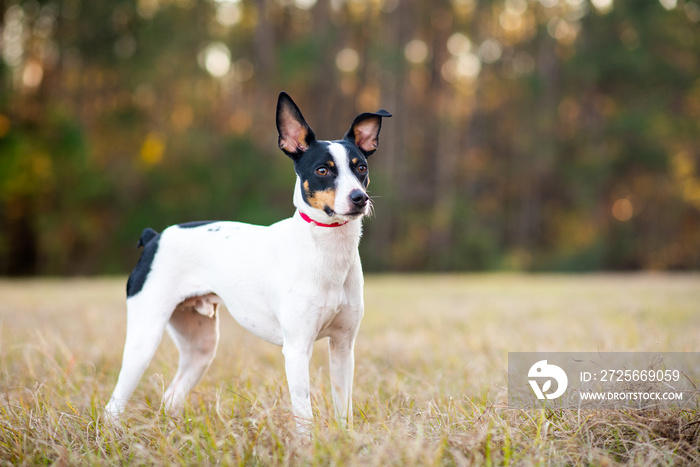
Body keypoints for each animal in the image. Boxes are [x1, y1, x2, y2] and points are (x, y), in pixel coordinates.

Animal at [104, 92, 392, 436]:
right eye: (323, 171)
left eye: (361, 167)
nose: (359, 197)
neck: (325, 252)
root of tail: (154, 238)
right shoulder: (297, 350)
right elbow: (304, 414)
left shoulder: (343, 347)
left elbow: (343, 408)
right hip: (143, 341)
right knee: (113, 405)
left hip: (201, 348)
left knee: (171, 396)